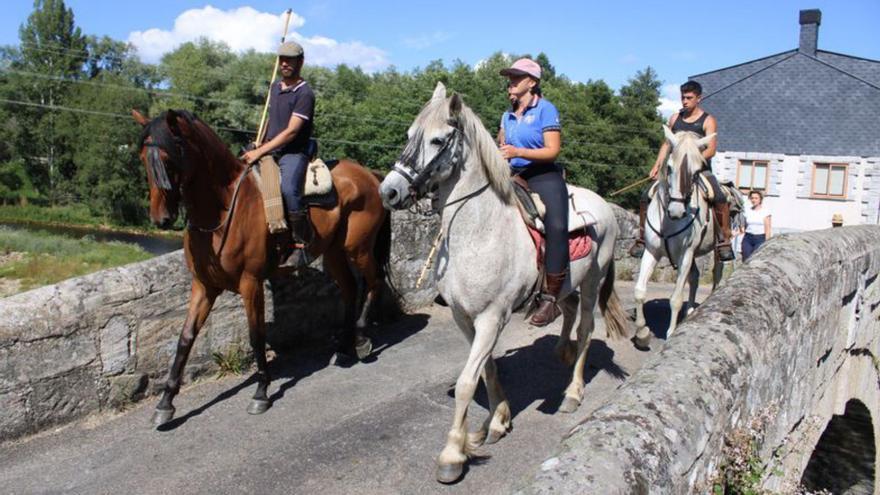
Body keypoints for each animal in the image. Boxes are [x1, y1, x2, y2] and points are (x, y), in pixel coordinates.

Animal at [132, 108, 390, 426]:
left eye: (169, 158)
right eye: (143, 157)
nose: (161, 219)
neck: (224, 208)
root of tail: (369, 174)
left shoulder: (250, 282)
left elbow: (256, 337)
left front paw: (261, 392)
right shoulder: (204, 285)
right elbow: (185, 338)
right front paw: (166, 403)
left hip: (359, 248)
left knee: (374, 281)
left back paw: (363, 338)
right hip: (333, 252)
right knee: (351, 288)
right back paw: (343, 349)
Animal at [374, 84, 628, 484]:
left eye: (437, 140)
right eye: (409, 135)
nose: (390, 192)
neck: (479, 231)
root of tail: (601, 203)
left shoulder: (492, 317)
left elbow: (467, 381)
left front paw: (453, 454)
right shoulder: (466, 318)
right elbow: (486, 369)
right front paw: (496, 422)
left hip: (592, 281)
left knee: (587, 329)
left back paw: (572, 393)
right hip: (566, 284)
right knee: (567, 309)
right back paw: (561, 348)